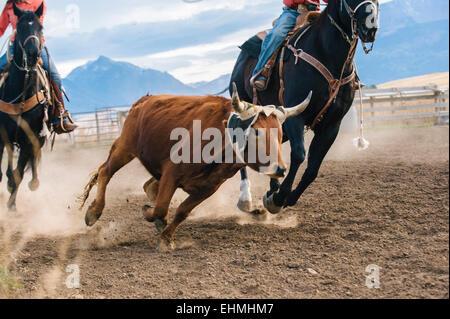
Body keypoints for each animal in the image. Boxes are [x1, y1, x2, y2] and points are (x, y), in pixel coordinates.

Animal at [230, 0, 378, 215]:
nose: (371, 28)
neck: (325, 53)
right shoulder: (294, 116)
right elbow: (299, 154)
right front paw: (278, 198)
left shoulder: (331, 125)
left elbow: (313, 169)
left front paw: (286, 197)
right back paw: (245, 198)